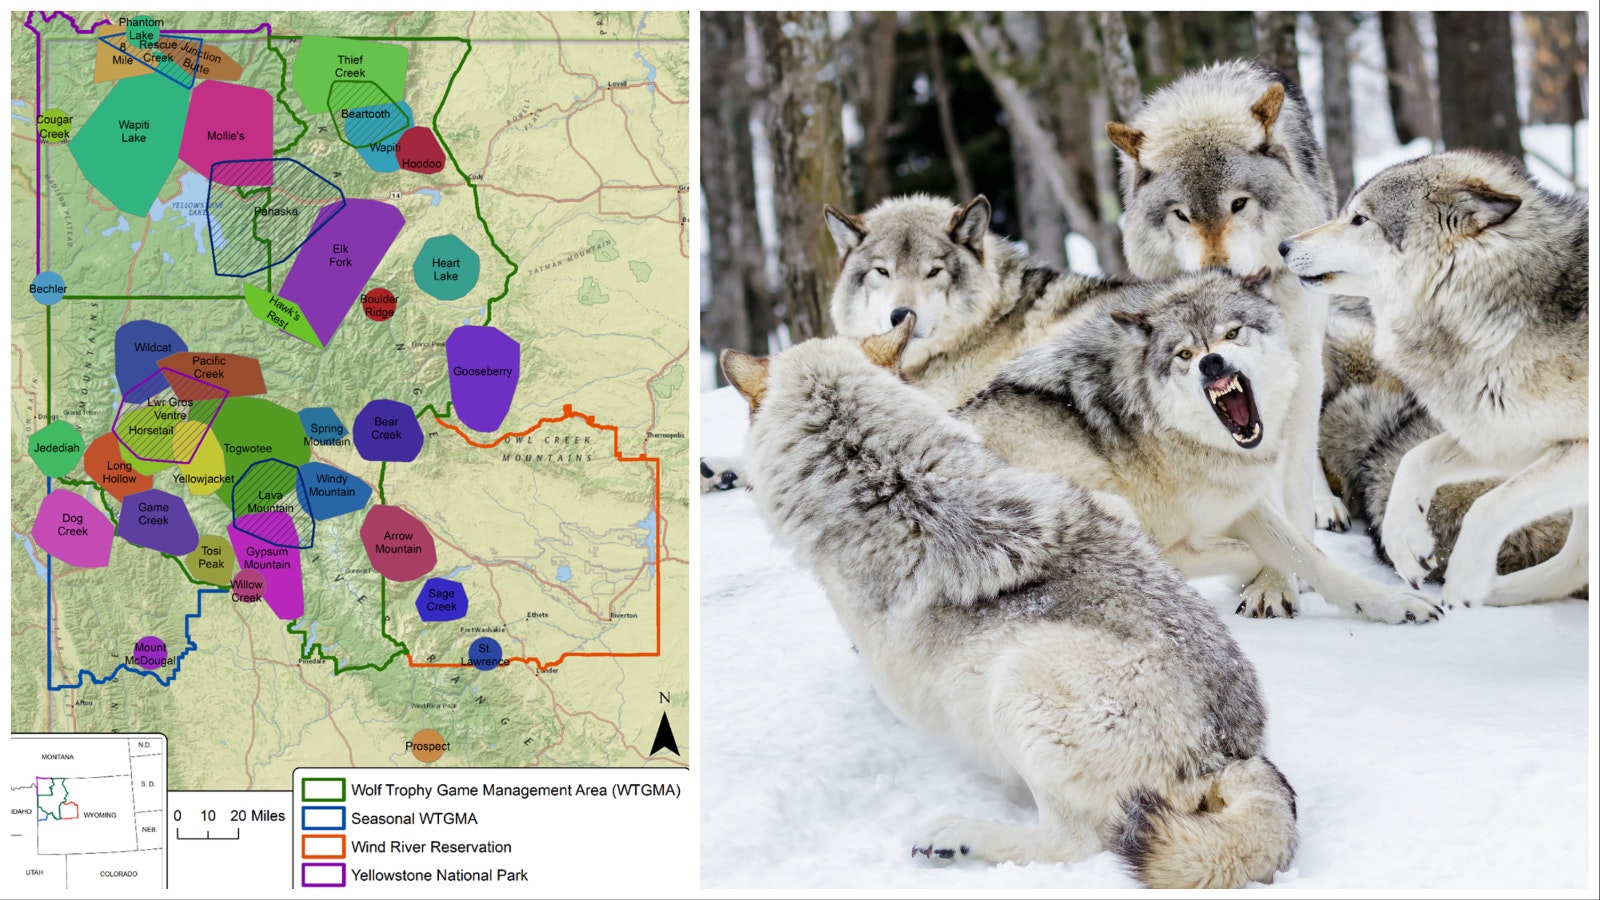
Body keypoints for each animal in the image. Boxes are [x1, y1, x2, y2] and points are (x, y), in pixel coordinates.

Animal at [720, 317, 1297, 888]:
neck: (878, 466)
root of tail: (1233, 755)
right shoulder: (1115, 507)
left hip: (1018, 686)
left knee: (1075, 842)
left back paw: (956, 836)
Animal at [958, 270, 1441, 624]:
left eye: (1232, 332)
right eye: (1184, 354)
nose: (1211, 361)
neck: (1159, 431)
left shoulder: (1242, 501)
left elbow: (1311, 556)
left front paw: (1391, 604)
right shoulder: (1168, 538)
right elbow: (1247, 554)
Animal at [1282, 149, 1588, 608]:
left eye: (1359, 219)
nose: (1283, 245)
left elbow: (1489, 506)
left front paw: (1463, 576)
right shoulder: (1511, 434)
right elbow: (1415, 460)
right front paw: (1408, 545)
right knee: (1575, 563)